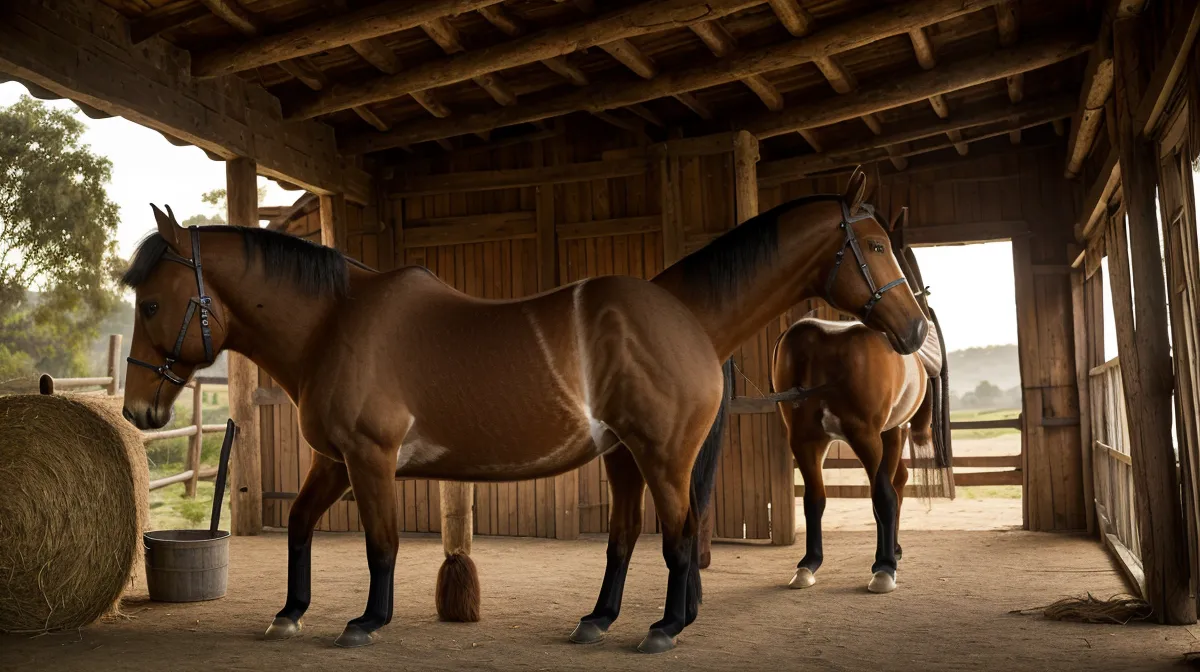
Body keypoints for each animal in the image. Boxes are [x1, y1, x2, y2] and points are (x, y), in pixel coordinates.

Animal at [119, 167, 927, 654]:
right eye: (877, 244)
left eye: (152, 302)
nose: (139, 410)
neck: (333, 324)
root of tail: (685, 312)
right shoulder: (335, 461)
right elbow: (296, 525)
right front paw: (289, 612)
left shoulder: (369, 460)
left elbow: (382, 544)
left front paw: (366, 621)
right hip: (628, 456)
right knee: (626, 538)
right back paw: (599, 619)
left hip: (661, 457)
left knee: (675, 534)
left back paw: (666, 624)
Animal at [769, 207, 951, 595]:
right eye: (896, 252)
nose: (918, 326)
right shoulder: (814, 441)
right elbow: (817, 499)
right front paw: (809, 564)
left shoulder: (864, 436)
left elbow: (879, 495)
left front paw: (884, 566)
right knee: (894, 484)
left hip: (881, 435)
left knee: (894, 485)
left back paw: (892, 551)